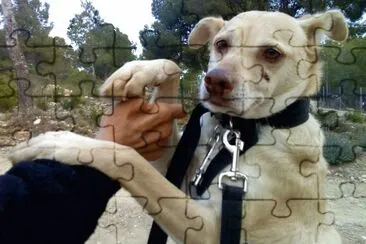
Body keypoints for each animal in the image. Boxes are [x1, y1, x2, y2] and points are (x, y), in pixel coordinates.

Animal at [8, 10, 348, 244]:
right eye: (221, 44)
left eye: (272, 53)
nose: (214, 81)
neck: (246, 129)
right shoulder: (180, 173)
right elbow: (171, 66)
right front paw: (136, 72)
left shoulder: (207, 228)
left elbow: (128, 159)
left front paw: (63, 142)